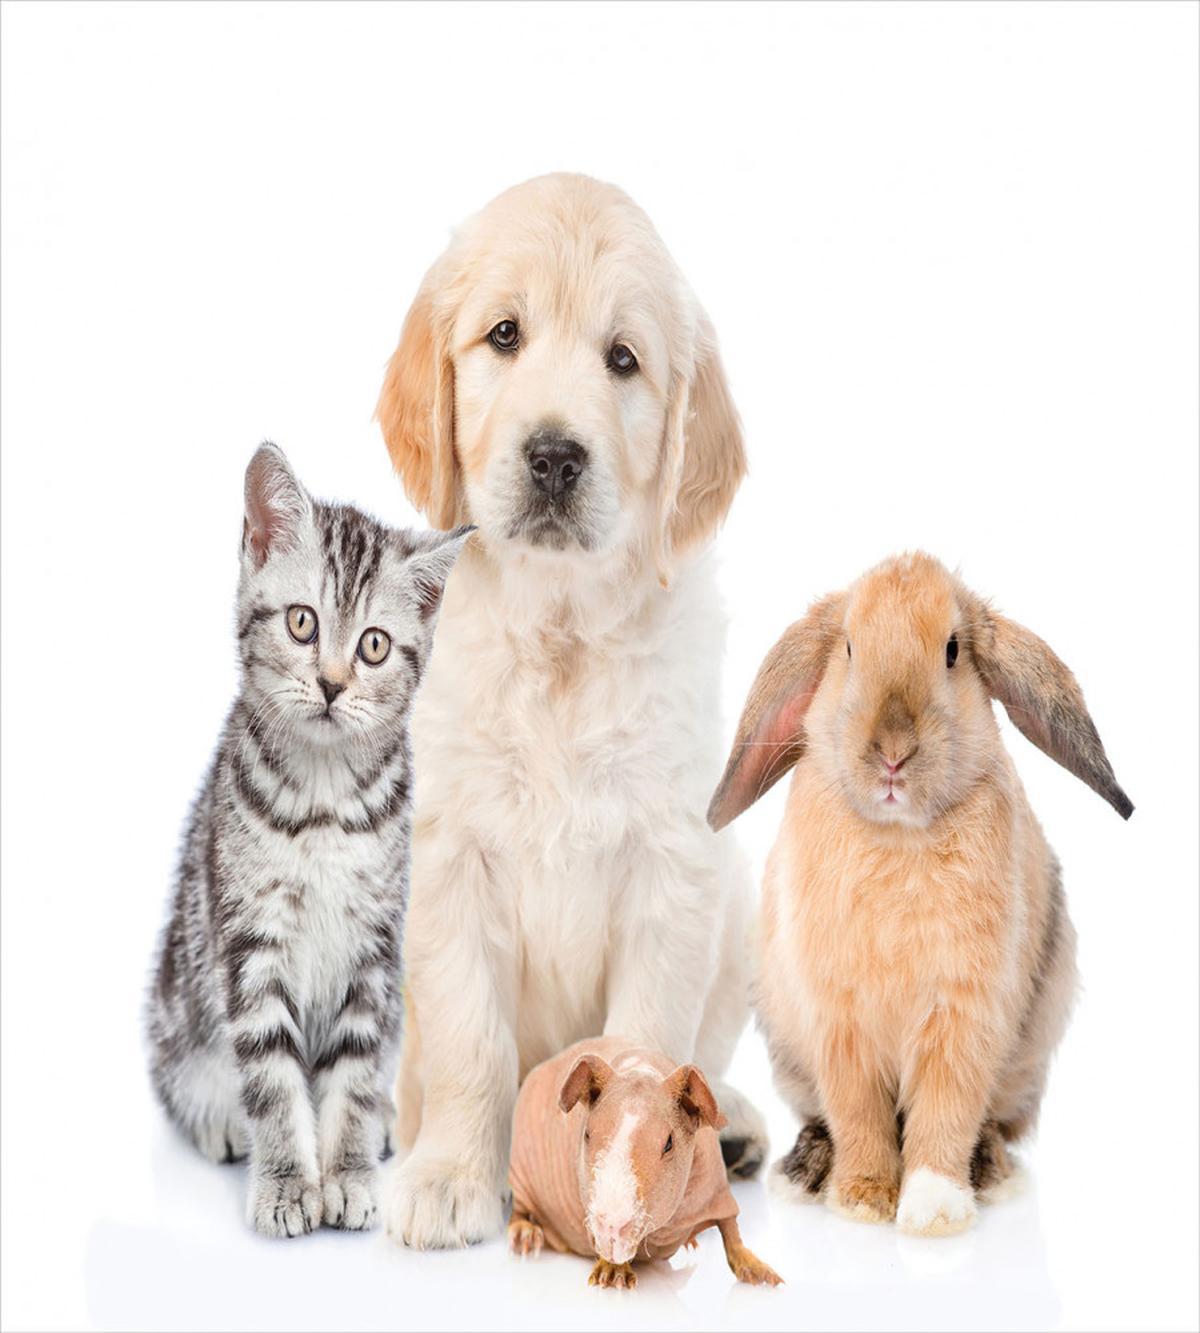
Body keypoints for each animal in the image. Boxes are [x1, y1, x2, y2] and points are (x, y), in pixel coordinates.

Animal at [508, 1036, 783, 1290]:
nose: (611, 1227)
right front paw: (612, 1276)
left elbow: (731, 1229)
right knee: (518, 1211)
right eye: (587, 1134)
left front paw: (766, 1277)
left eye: (668, 1143)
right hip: (518, 1176)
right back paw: (525, 1238)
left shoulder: (718, 1190)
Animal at [707, 552, 1132, 1237]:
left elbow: (945, 1109)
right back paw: (806, 1169)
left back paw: (987, 1172)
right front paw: (862, 1199)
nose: (892, 753)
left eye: (953, 650)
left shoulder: (961, 1015)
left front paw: (933, 1210)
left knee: (994, 1123)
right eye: (849, 647)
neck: (898, 835)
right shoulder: (840, 1024)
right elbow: (859, 1114)